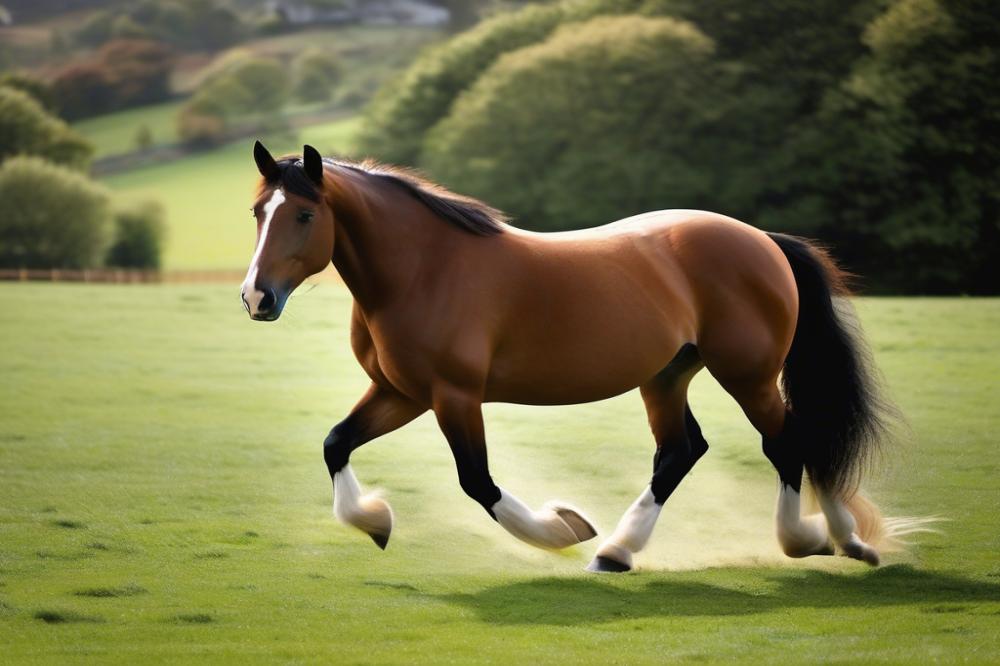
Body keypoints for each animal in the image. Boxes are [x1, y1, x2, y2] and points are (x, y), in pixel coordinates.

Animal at [242, 140, 900, 572]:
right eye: (257, 213)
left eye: (304, 214)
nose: (256, 298)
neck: (423, 270)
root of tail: (763, 240)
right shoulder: (402, 393)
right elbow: (336, 443)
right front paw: (375, 520)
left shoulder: (454, 396)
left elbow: (478, 482)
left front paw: (559, 529)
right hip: (667, 376)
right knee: (682, 452)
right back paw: (620, 551)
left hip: (749, 375)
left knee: (791, 442)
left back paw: (817, 539)